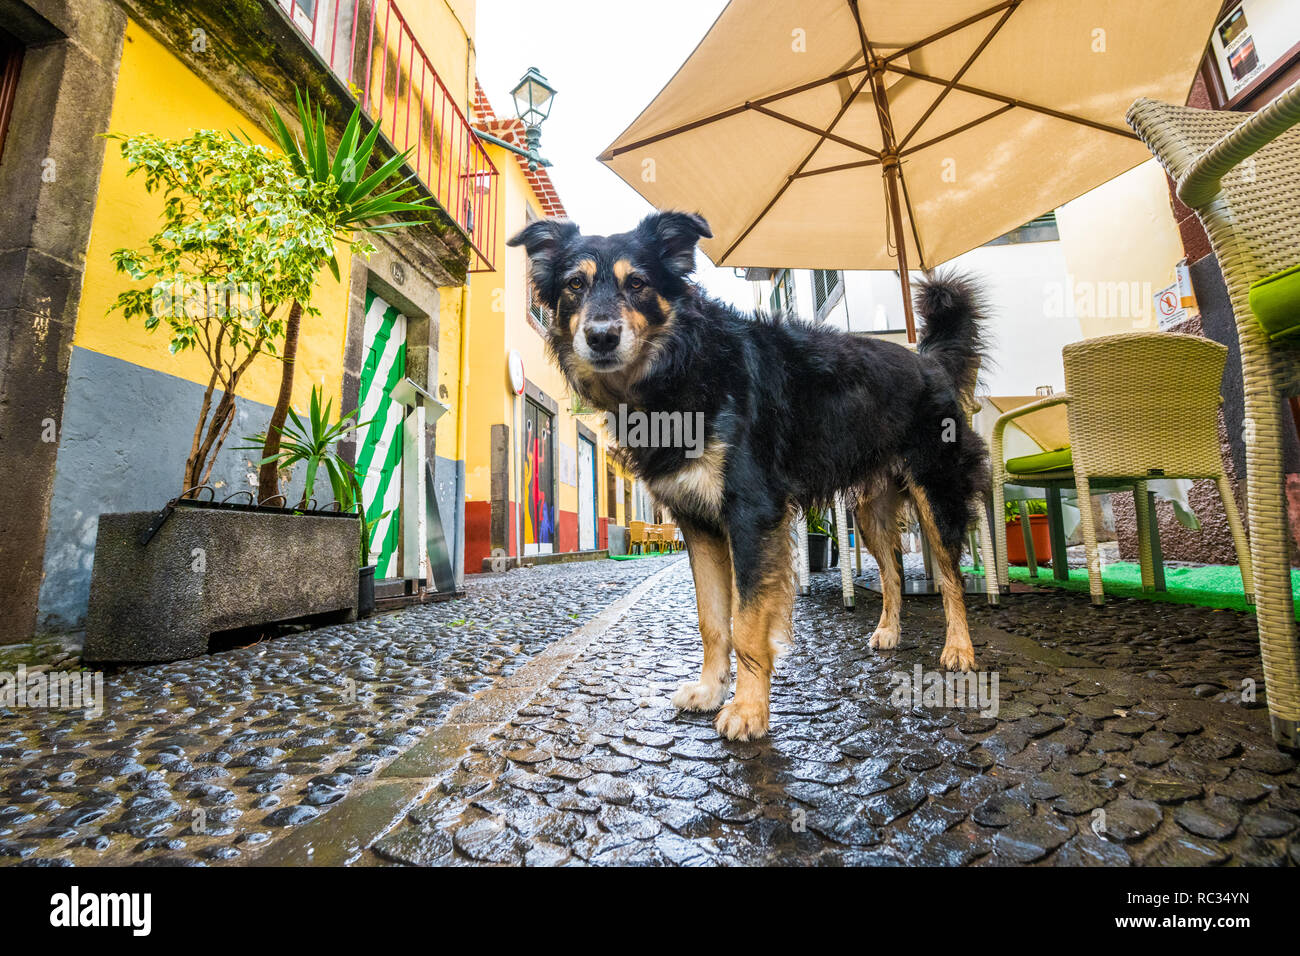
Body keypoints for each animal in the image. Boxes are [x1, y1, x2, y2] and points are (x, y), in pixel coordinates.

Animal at [506, 213, 982, 743]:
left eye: (638, 284)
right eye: (575, 285)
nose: (601, 335)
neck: (681, 369)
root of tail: (929, 360)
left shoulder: (751, 515)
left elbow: (747, 621)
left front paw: (749, 710)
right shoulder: (698, 525)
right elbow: (713, 620)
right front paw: (711, 690)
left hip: (936, 495)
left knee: (950, 576)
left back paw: (960, 649)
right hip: (867, 511)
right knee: (894, 571)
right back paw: (890, 632)